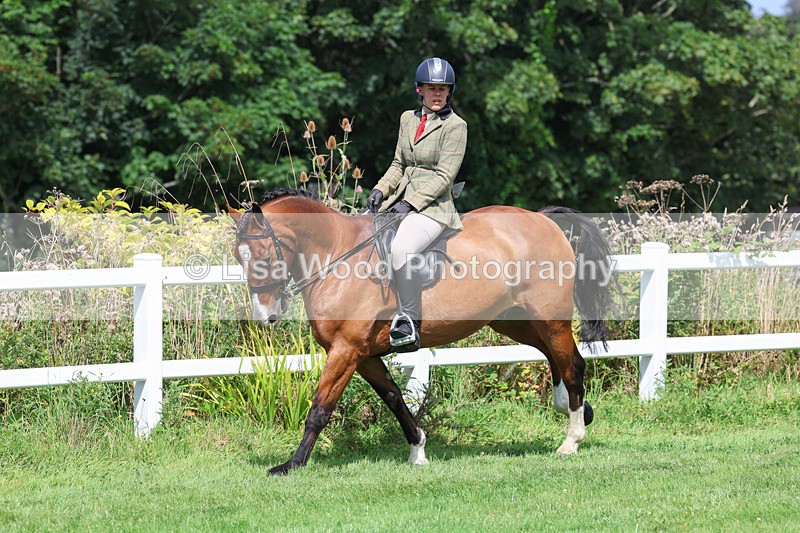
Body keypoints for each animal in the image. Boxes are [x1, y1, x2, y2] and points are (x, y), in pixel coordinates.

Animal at [228, 188, 613, 476]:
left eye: (264, 254)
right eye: (239, 257)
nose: (265, 316)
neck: (336, 255)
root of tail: (543, 217)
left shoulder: (345, 350)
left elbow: (320, 409)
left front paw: (291, 464)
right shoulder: (363, 355)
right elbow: (395, 399)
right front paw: (418, 450)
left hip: (550, 319)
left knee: (572, 364)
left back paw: (572, 439)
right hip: (512, 319)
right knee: (553, 355)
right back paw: (573, 407)